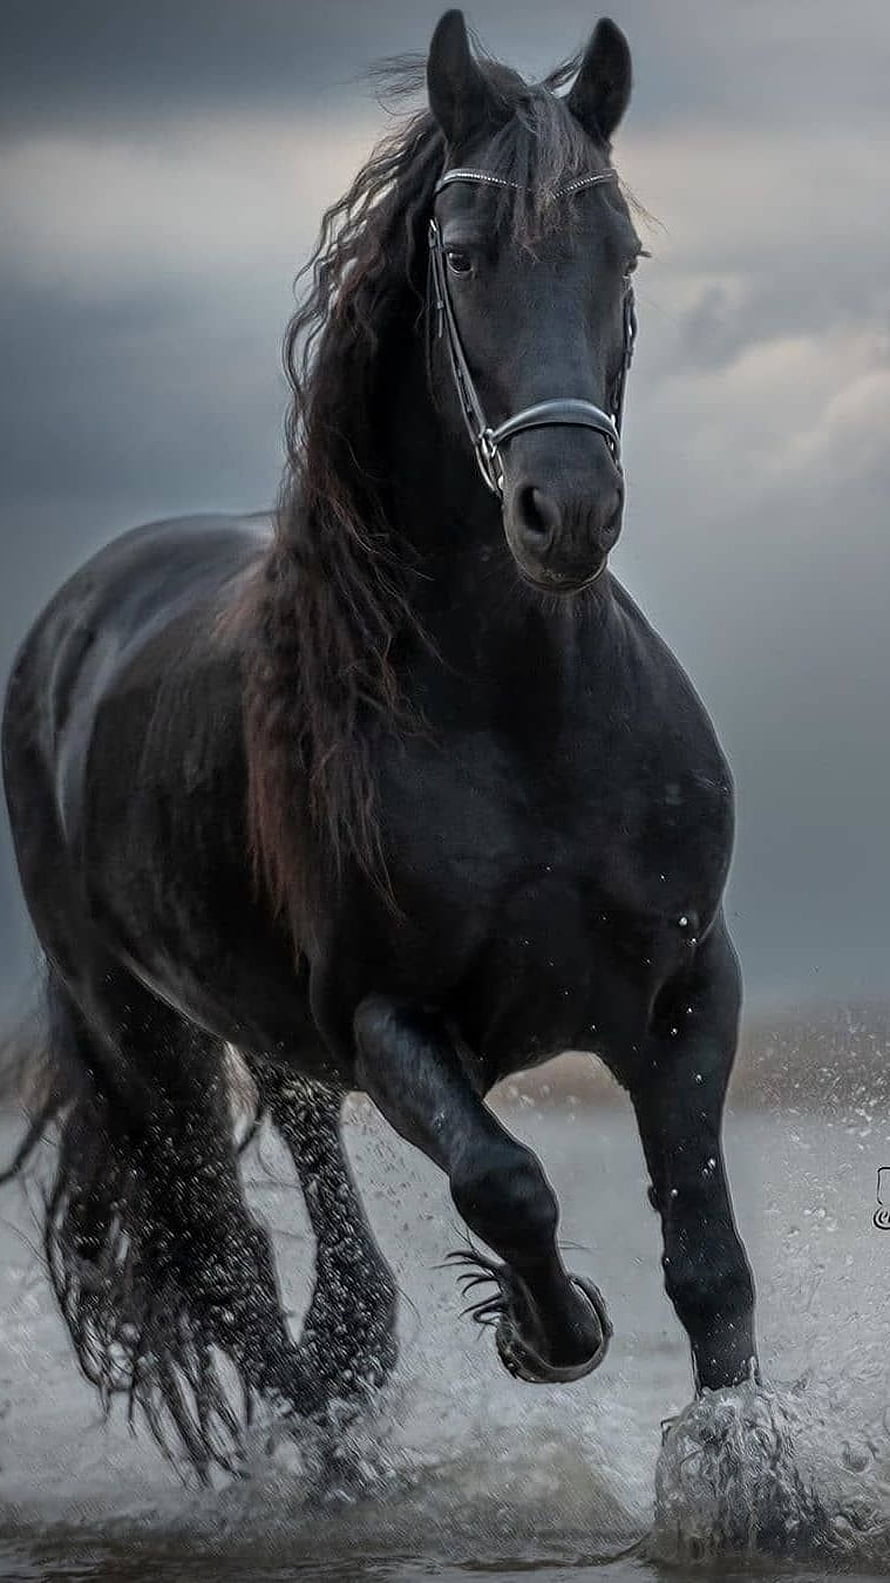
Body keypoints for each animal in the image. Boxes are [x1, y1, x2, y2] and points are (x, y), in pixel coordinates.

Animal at [1, 10, 758, 1477]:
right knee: (230, 1272)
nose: (565, 513)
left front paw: (754, 1477)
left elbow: (706, 1262)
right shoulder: (390, 1017)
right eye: (462, 255)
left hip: (268, 1039)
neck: (521, 721)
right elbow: (506, 1183)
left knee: (325, 1248)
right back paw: (332, 1464)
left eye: (620, 254)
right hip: (148, 1046)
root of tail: (79, 614)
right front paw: (546, 1330)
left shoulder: (681, 990)